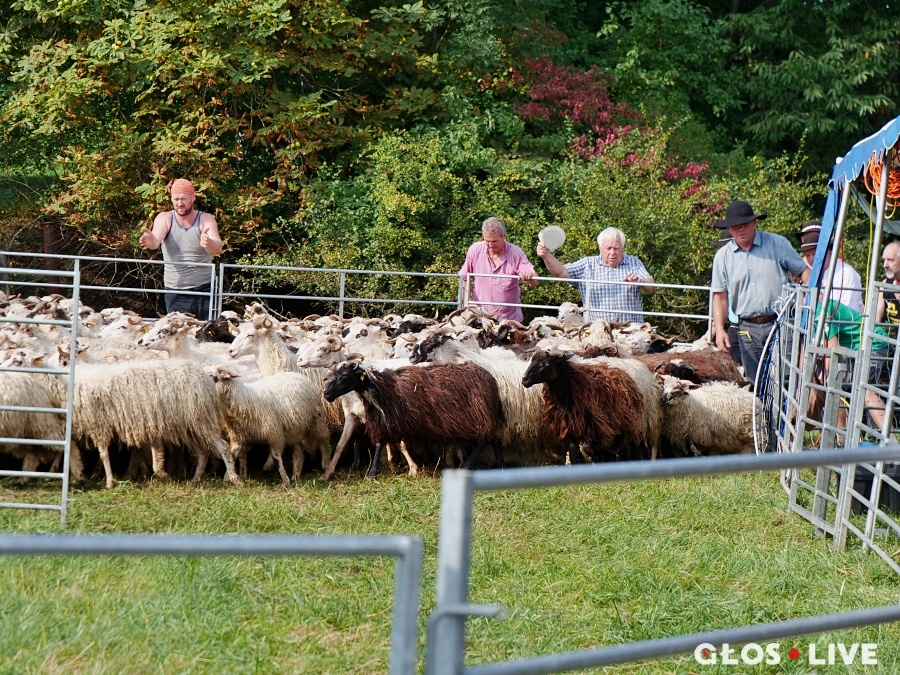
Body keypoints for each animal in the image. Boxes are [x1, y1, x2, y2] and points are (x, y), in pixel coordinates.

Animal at [323, 360, 502, 477]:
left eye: (344, 376)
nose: (326, 394)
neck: (383, 389)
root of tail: (489, 377)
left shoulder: (424, 423)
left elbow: (432, 448)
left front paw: (444, 467)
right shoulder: (386, 421)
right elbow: (380, 444)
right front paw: (372, 473)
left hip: (478, 416)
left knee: (484, 440)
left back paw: (468, 465)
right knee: (494, 439)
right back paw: (498, 465)